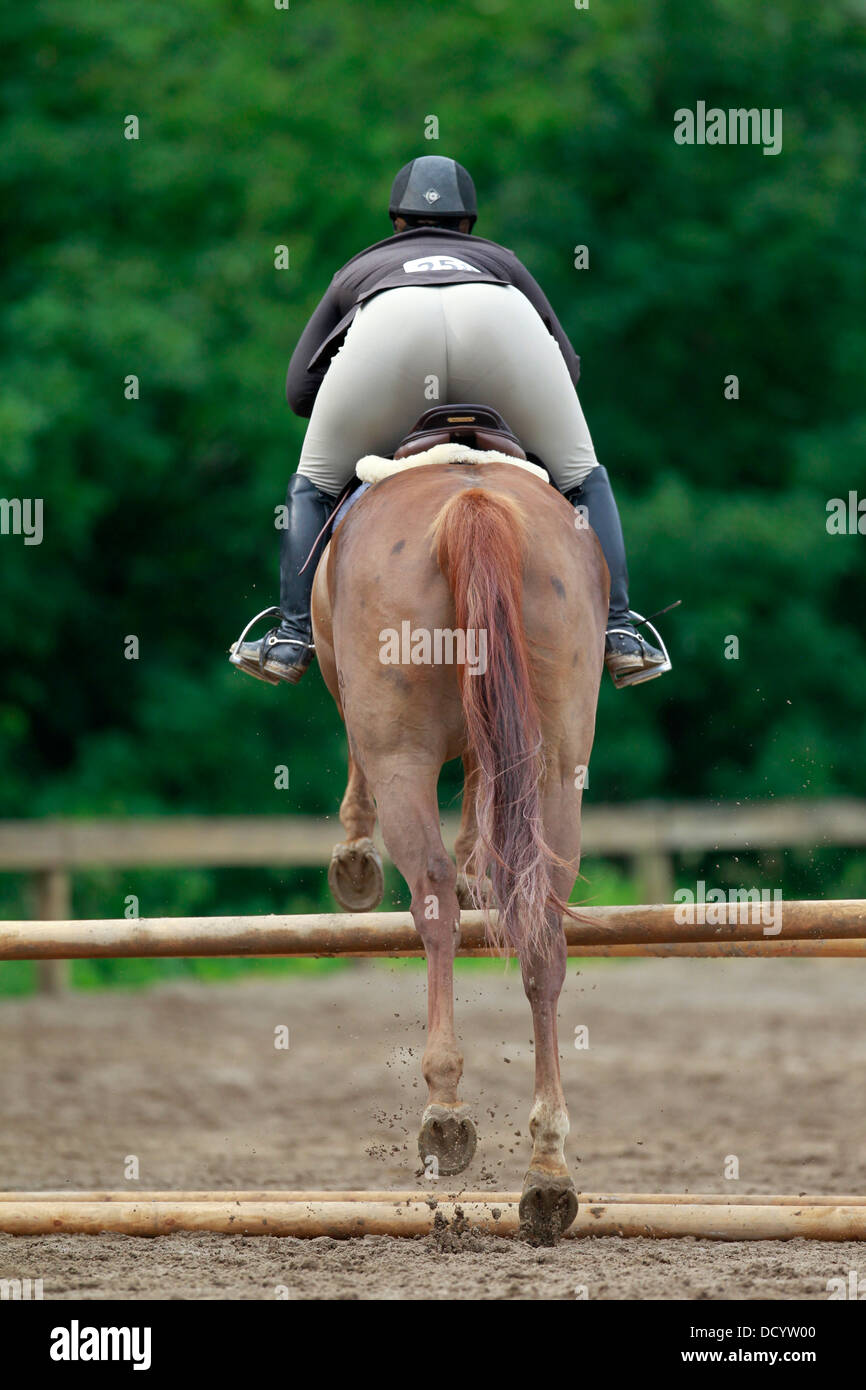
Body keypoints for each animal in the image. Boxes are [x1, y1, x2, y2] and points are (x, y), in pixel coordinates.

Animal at [311, 455, 607, 1242]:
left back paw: (446, 1114)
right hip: (557, 763)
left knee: (433, 898)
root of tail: (471, 500)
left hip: (403, 754)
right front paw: (481, 868)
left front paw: (355, 859)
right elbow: (482, 786)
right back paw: (547, 1174)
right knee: (543, 931)